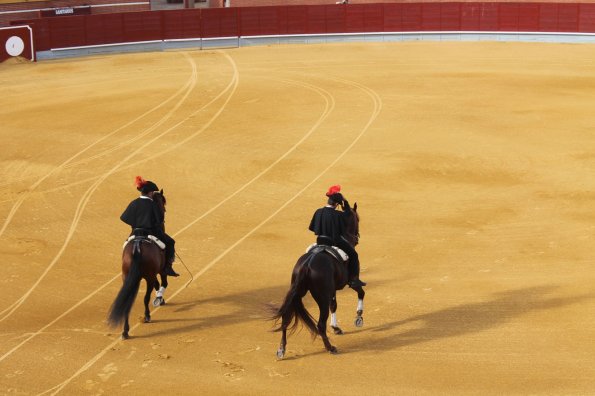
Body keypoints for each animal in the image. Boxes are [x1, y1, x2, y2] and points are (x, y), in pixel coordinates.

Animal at [107, 190, 170, 338]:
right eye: (162, 202)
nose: (164, 213)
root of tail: (137, 247)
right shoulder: (160, 271)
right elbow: (162, 283)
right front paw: (160, 299)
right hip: (148, 276)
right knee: (146, 297)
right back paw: (147, 316)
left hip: (127, 277)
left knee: (128, 302)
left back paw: (125, 331)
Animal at [272, 203, 366, 358]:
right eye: (357, 219)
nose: (357, 238)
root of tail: (307, 264)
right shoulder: (350, 282)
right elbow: (361, 292)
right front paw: (358, 317)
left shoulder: (332, 290)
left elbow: (334, 305)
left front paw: (335, 327)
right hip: (321, 298)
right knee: (320, 324)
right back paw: (330, 347)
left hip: (297, 292)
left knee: (286, 318)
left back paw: (281, 349)